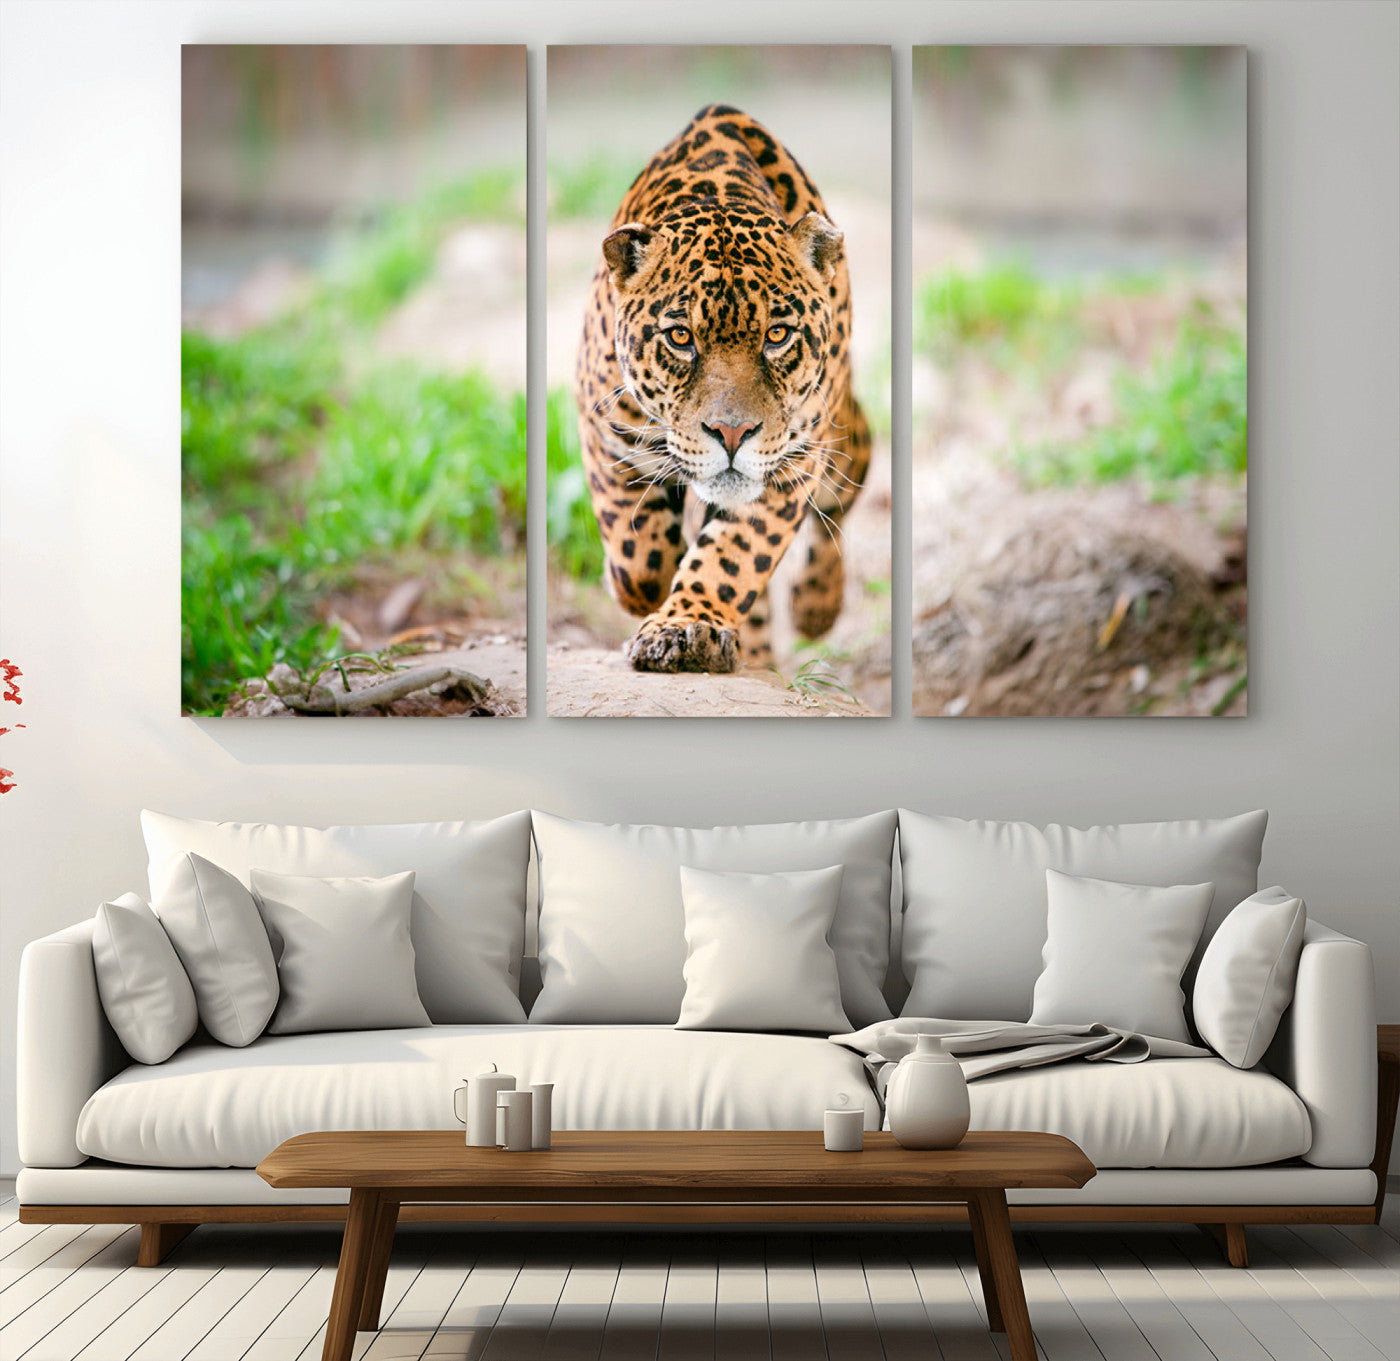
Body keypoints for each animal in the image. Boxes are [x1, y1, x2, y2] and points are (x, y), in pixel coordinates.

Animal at [573, 103, 871, 674]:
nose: (732, 434)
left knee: (846, 486)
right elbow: (637, 554)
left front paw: (687, 626)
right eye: (680, 338)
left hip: (841, 438)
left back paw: (815, 606)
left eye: (777, 335)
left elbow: (733, 556)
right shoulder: (604, 427)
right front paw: (644, 591)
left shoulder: (791, 462)